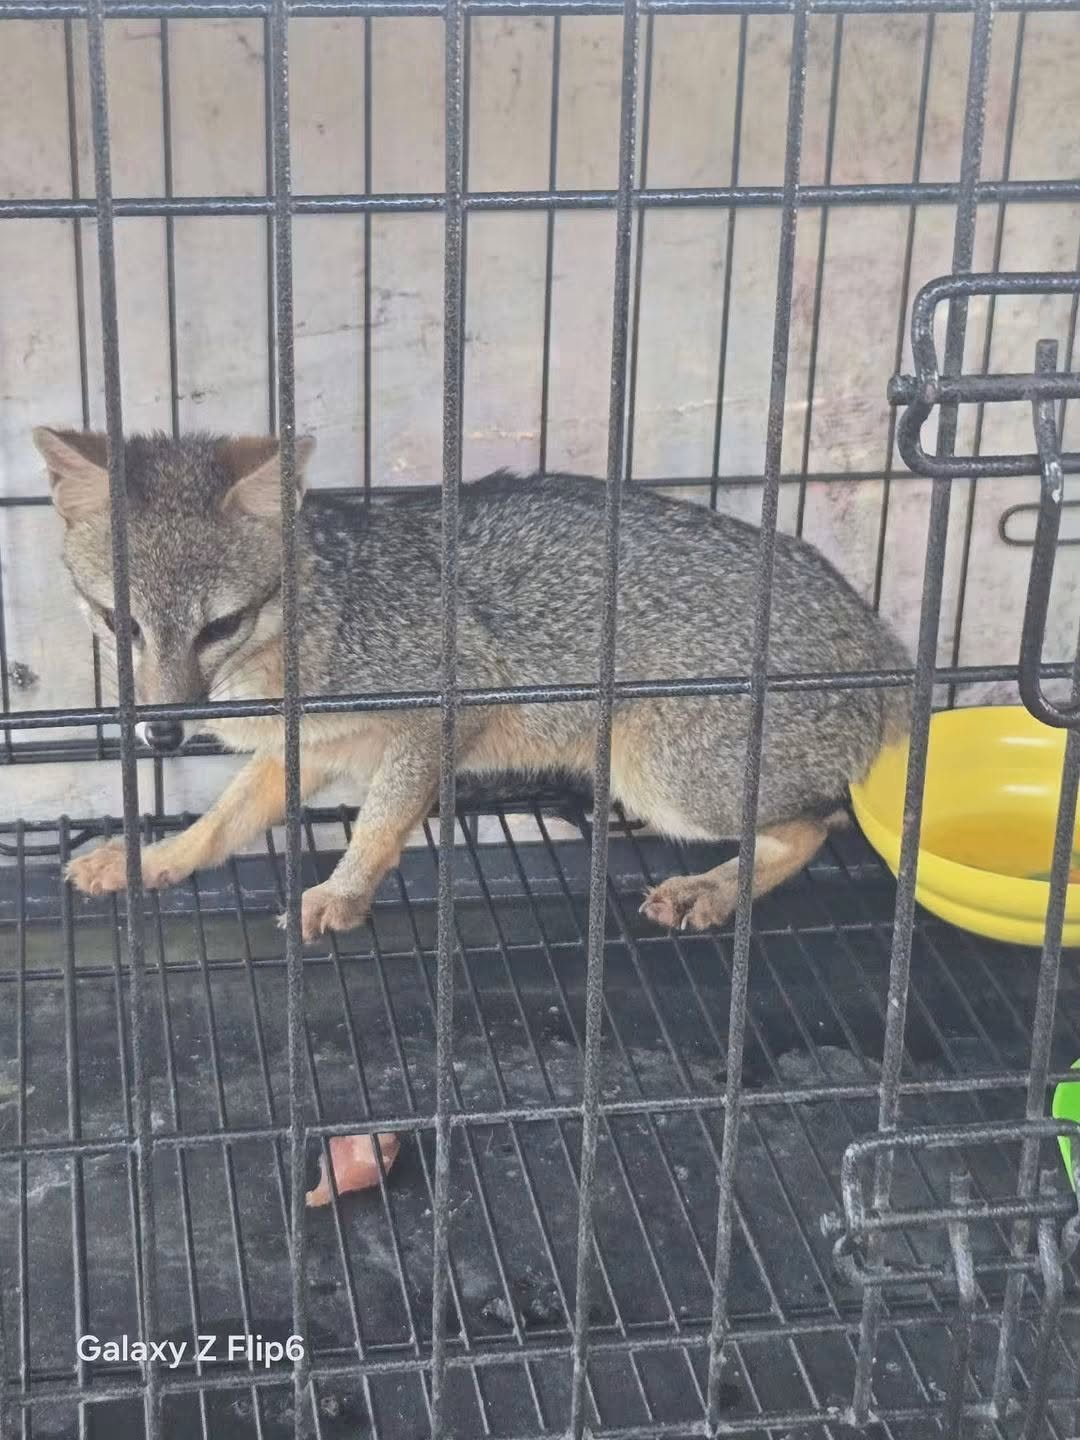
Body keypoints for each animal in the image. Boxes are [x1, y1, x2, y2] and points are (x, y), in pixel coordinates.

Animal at [35, 425, 911, 942]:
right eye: (118, 623)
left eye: (219, 626)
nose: (163, 732)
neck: (320, 618)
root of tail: (879, 635)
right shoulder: (312, 747)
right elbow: (226, 818)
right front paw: (155, 859)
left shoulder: (440, 713)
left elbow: (377, 823)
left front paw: (343, 893)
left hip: (664, 779)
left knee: (817, 825)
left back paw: (714, 889)